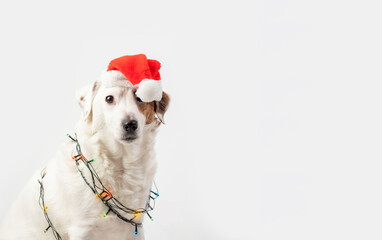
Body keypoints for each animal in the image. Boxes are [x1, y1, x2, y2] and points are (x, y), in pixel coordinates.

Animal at [0, 79, 170, 240]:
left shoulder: (135, 228)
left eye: (140, 98)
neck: (121, 163)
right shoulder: (82, 230)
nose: (130, 124)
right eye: (109, 98)